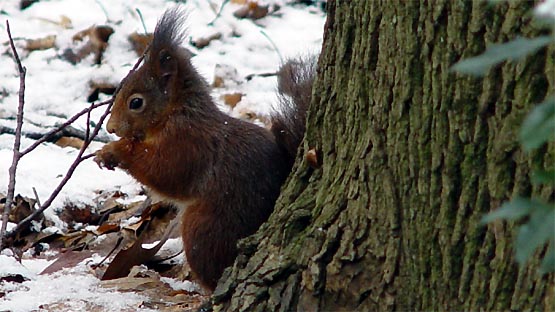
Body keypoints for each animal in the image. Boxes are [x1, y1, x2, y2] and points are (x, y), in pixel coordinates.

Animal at [93, 6, 314, 290]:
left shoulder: (187, 143)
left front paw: (116, 150)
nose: (111, 128)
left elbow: (163, 172)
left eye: (136, 102)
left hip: (202, 230)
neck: (177, 113)